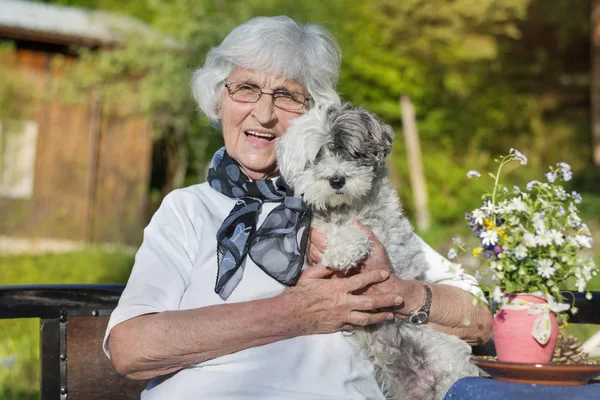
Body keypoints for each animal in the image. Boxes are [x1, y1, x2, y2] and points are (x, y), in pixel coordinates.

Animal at [276, 104, 478, 400]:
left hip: (446, 362)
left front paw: (341, 251)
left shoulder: (379, 233)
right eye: (318, 156)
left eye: (353, 152)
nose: (337, 179)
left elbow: (356, 232)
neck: (343, 208)